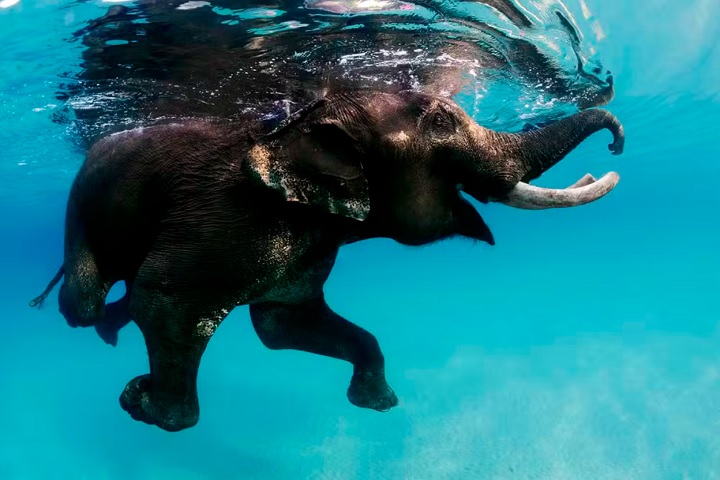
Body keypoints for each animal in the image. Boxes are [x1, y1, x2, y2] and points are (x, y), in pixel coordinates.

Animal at [30, 89, 624, 432]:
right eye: (442, 120)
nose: (617, 144)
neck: (295, 124)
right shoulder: (225, 218)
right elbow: (167, 301)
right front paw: (141, 405)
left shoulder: (308, 249)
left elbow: (281, 325)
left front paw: (379, 403)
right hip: (78, 212)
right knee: (82, 301)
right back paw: (96, 320)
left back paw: (112, 327)